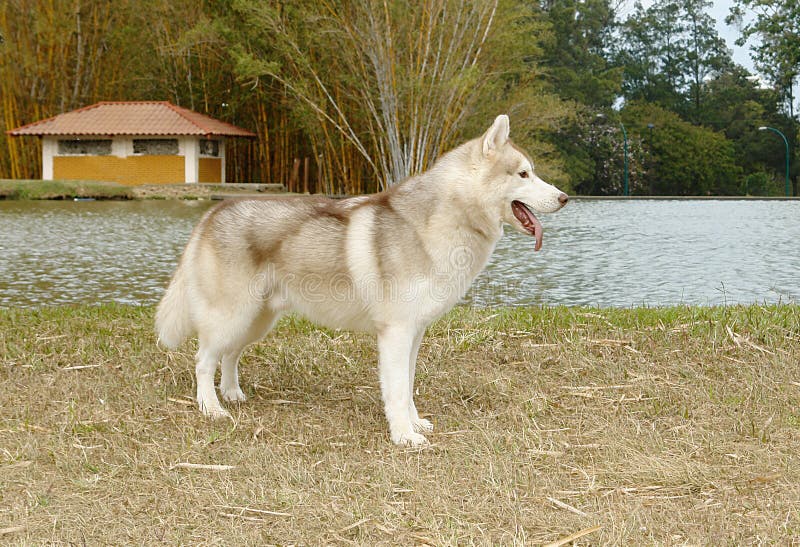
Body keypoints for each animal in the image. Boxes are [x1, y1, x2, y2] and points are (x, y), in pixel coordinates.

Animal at [156, 115, 568, 446]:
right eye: (524, 174)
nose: (565, 197)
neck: (442, 221)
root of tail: (212, 212)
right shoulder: (396, 332)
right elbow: (397, 390)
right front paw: (404, 436)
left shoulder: (414, 333)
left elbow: (408, 385)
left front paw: (414, 424)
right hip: (233, 315)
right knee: (203, 360)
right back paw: (211, 408)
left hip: (255, 320)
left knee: (229, 355)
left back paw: (231, 393)